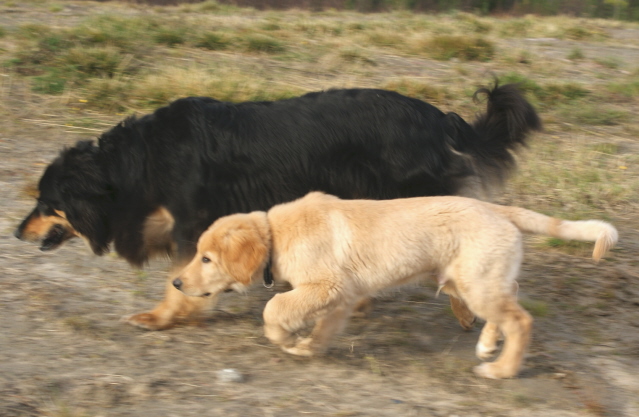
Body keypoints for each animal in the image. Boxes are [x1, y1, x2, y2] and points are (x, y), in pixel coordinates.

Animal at [15, 83, 540, 328]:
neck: (133, 165)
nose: (16, 231)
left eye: (47, 203)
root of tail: (439, 119)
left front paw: (162, 317)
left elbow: (179, 278)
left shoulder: (194, 219)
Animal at [172, 192, 616, 376]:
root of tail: (496, 208)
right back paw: (488, 344)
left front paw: (284, 337)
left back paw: (502, 370)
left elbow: (274, 307)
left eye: (207, 259)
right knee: (513, 301)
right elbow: (323, 329)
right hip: (476, 279)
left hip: (477, 282)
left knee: (521, 320)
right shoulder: (343, 296)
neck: (276, 234)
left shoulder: (327, 286)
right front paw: (308, 347)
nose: (176, 282)